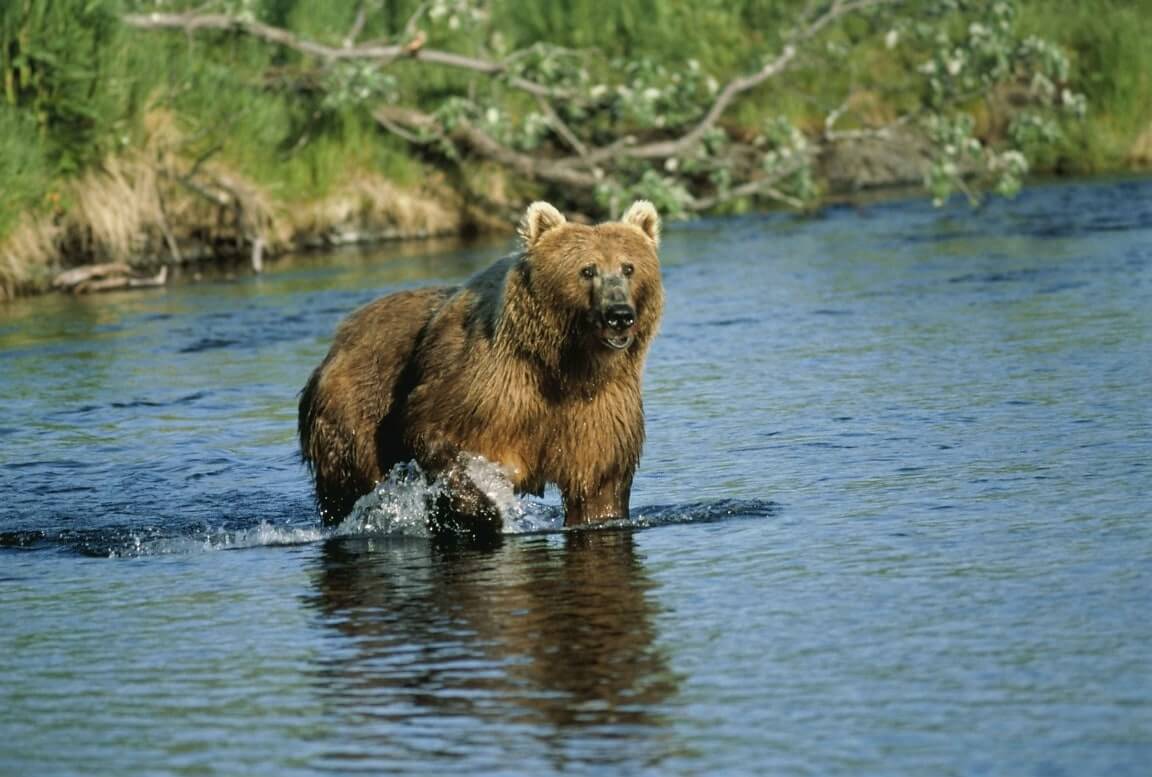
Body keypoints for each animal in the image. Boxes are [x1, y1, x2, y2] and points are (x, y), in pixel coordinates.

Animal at [299, 201, 668, 532]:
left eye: (629, 268)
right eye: (587, 270)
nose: (619, 315)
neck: (566, 364)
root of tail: (339, 338)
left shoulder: (600, 408)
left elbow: (598, 485)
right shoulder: (490, 387)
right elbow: (438, 434)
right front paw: (482, 512)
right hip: (356, 407)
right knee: (351, 482)